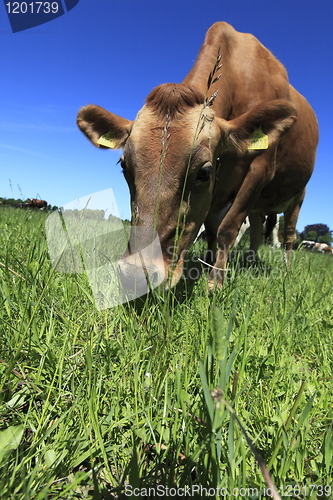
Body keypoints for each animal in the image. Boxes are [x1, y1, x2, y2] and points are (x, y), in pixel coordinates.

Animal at [76, 21, 318, 290]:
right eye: (124, 166)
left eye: (204, 172)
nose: (136, 275)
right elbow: (212, 230)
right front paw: (208, 264)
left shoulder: (259, 170)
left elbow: (227, 228)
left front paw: (216, 282)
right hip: (260, 206)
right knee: (257, 228)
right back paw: (250, 261)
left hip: (298, 195)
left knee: (289, 234)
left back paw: (286, 270)